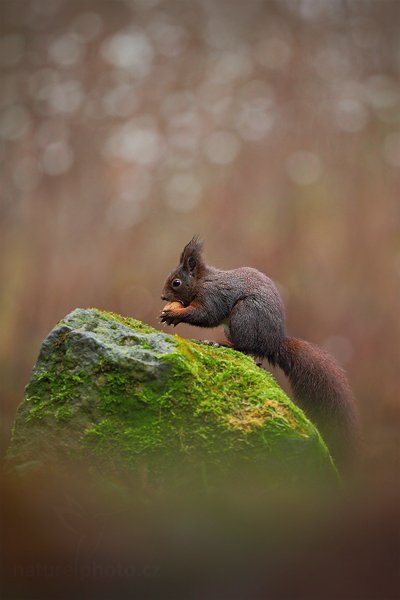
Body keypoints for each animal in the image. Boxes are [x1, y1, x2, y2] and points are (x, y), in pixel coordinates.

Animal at [159, 237, 360, 466]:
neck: (201, 281)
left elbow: (205, 314)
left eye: (176, 282)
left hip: (244, 316)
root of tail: (273, 344)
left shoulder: (212, 296)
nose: (163, 297)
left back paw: (222, 344)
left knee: (246, 347)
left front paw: (175, 315)